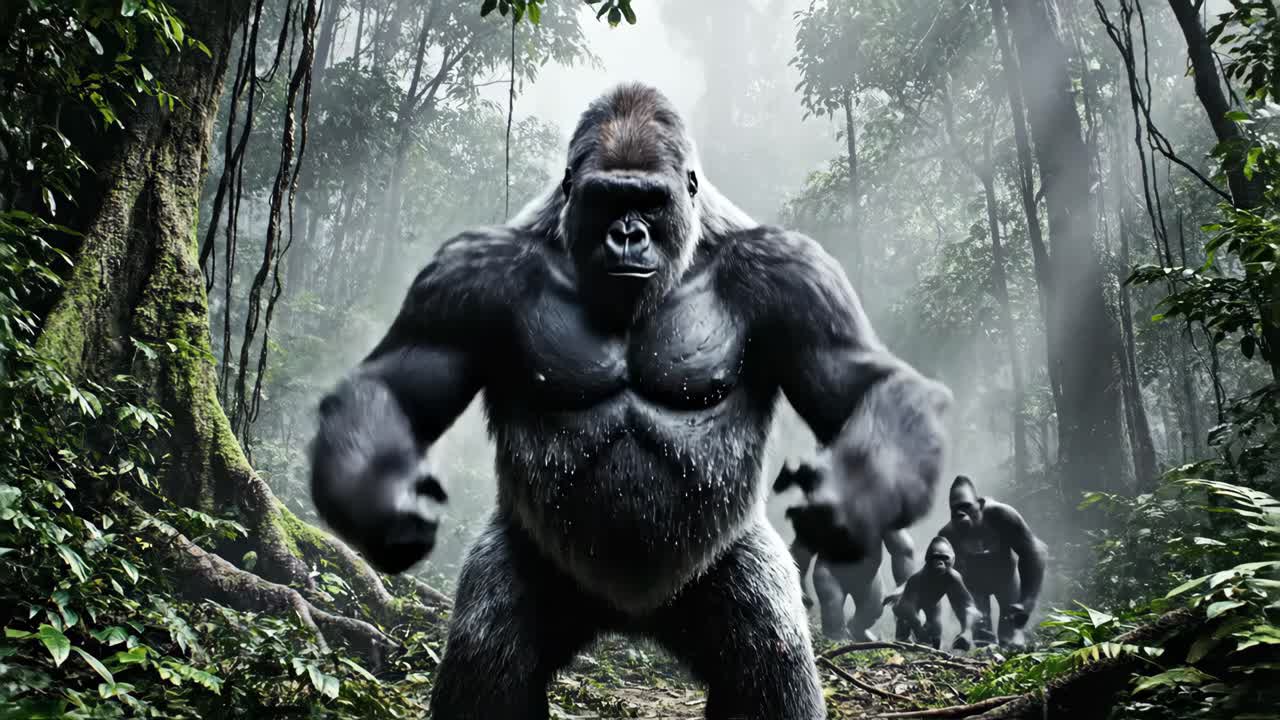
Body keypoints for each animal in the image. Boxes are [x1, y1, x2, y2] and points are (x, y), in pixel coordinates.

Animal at [308, 83, 952, 720]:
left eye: (649, 201)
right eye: (606, 200)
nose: (627, 235)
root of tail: (630, 618)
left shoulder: (792, 272)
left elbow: (864, 384)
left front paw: (851, 505)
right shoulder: (467, 274)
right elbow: (395, 385)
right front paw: (383, 510)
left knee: (768, 658)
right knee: (489, 656)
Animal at [939, 475, 1047, 649]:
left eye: (965, 506)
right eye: (955, 508)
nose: (960, 514)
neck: (977, 522)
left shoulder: (1007, 515)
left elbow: (1029, 549)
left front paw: (1024, 609)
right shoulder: (946, 534)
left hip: (1007, 583)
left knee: (1006, 604)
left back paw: (1010, 640)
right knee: (981, 607)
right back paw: (985, 640)